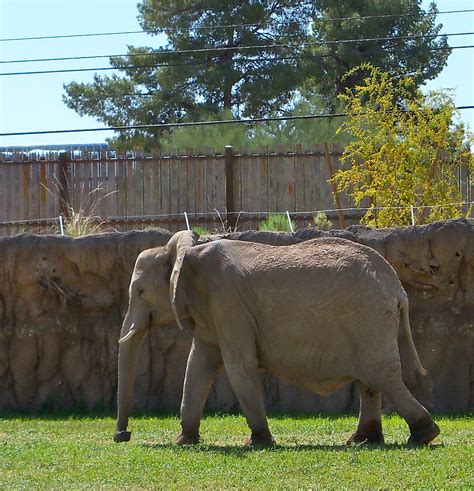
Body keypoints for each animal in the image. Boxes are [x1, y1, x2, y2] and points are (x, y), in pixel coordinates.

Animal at [115, 231, 440, 446]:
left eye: (140, 292)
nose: (123, 436)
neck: (189, 252)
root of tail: (398, 289)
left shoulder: (228, 304)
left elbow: (239, 366)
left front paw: (259, 444)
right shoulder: (212, 312)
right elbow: (198, 366)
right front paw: (184, 441)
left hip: (369, 318)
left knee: (383, 376)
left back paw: (423, 436)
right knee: (370, 381)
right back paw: (361, 441)